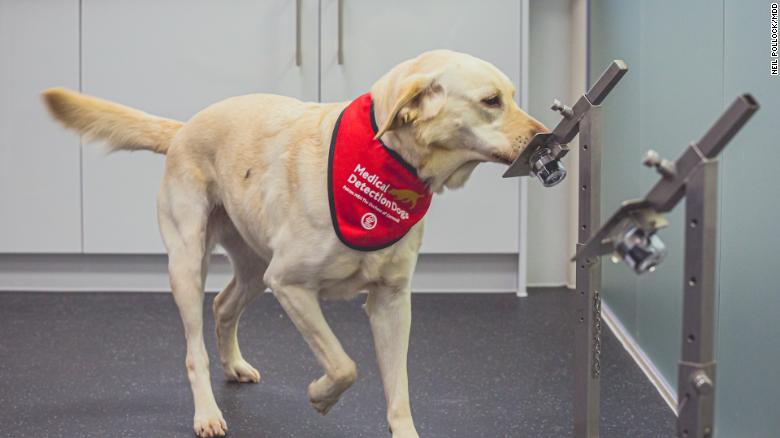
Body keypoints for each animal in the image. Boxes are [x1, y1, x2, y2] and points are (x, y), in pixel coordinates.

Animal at [41, 49, 544, 436]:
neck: (388, 161)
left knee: (223, 305)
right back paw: (207, 413)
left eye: (513, 96)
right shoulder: (291, 285)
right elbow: (343, 365)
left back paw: (234, 366)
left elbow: (397, 389)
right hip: (189, 262)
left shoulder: (392, 301)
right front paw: (320, 397)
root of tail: (184, 128)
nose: (544, 137)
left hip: (254, 268)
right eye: (491, 101)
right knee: (194, 349)